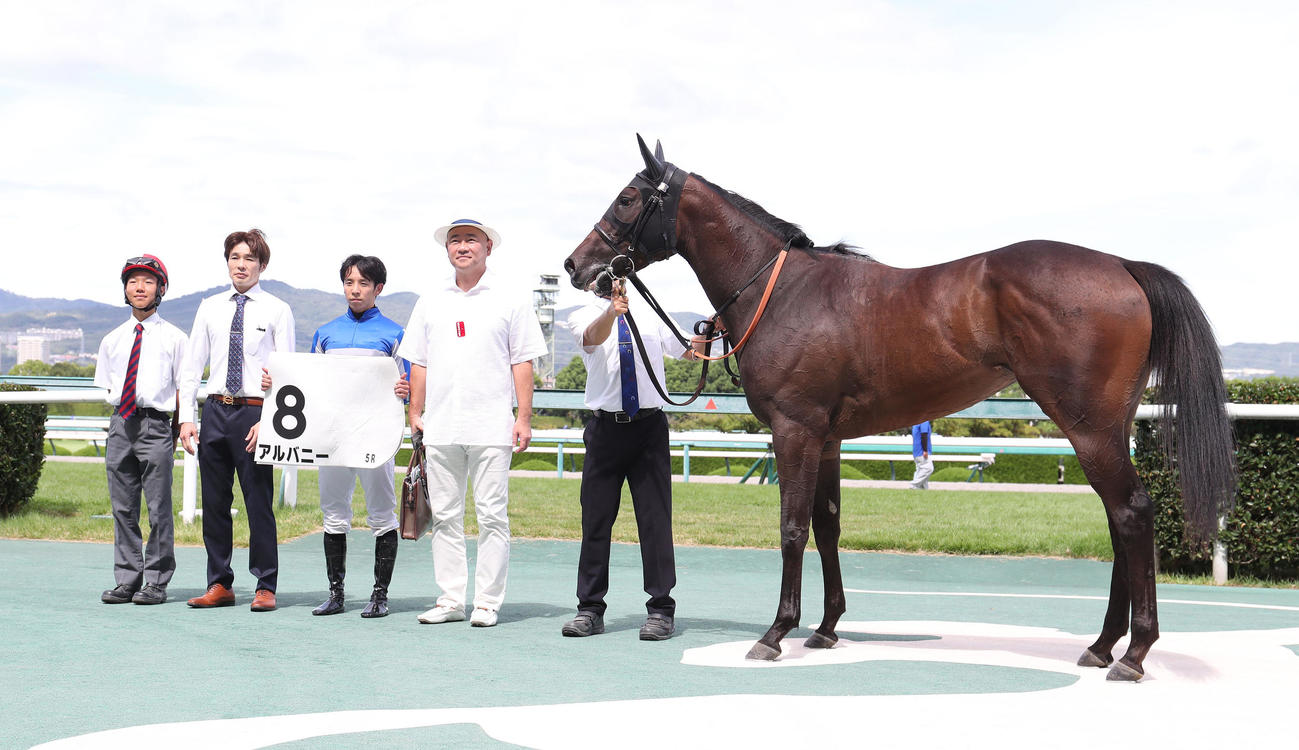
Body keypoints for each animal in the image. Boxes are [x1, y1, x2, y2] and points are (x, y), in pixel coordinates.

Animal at [562, 135, 1236, 681]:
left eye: (628, 198)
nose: (576, 265)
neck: (781, 290)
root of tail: (1122, 265)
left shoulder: (794, 430)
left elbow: (792, 526)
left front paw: (776, 633)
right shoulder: (827, 439)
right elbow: (828, 524)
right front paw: (825, 628)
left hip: (1089, 429)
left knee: (1132, 514)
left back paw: (1132, 653)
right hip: (1107, 428)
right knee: (1120, 521)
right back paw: (1101, 646)